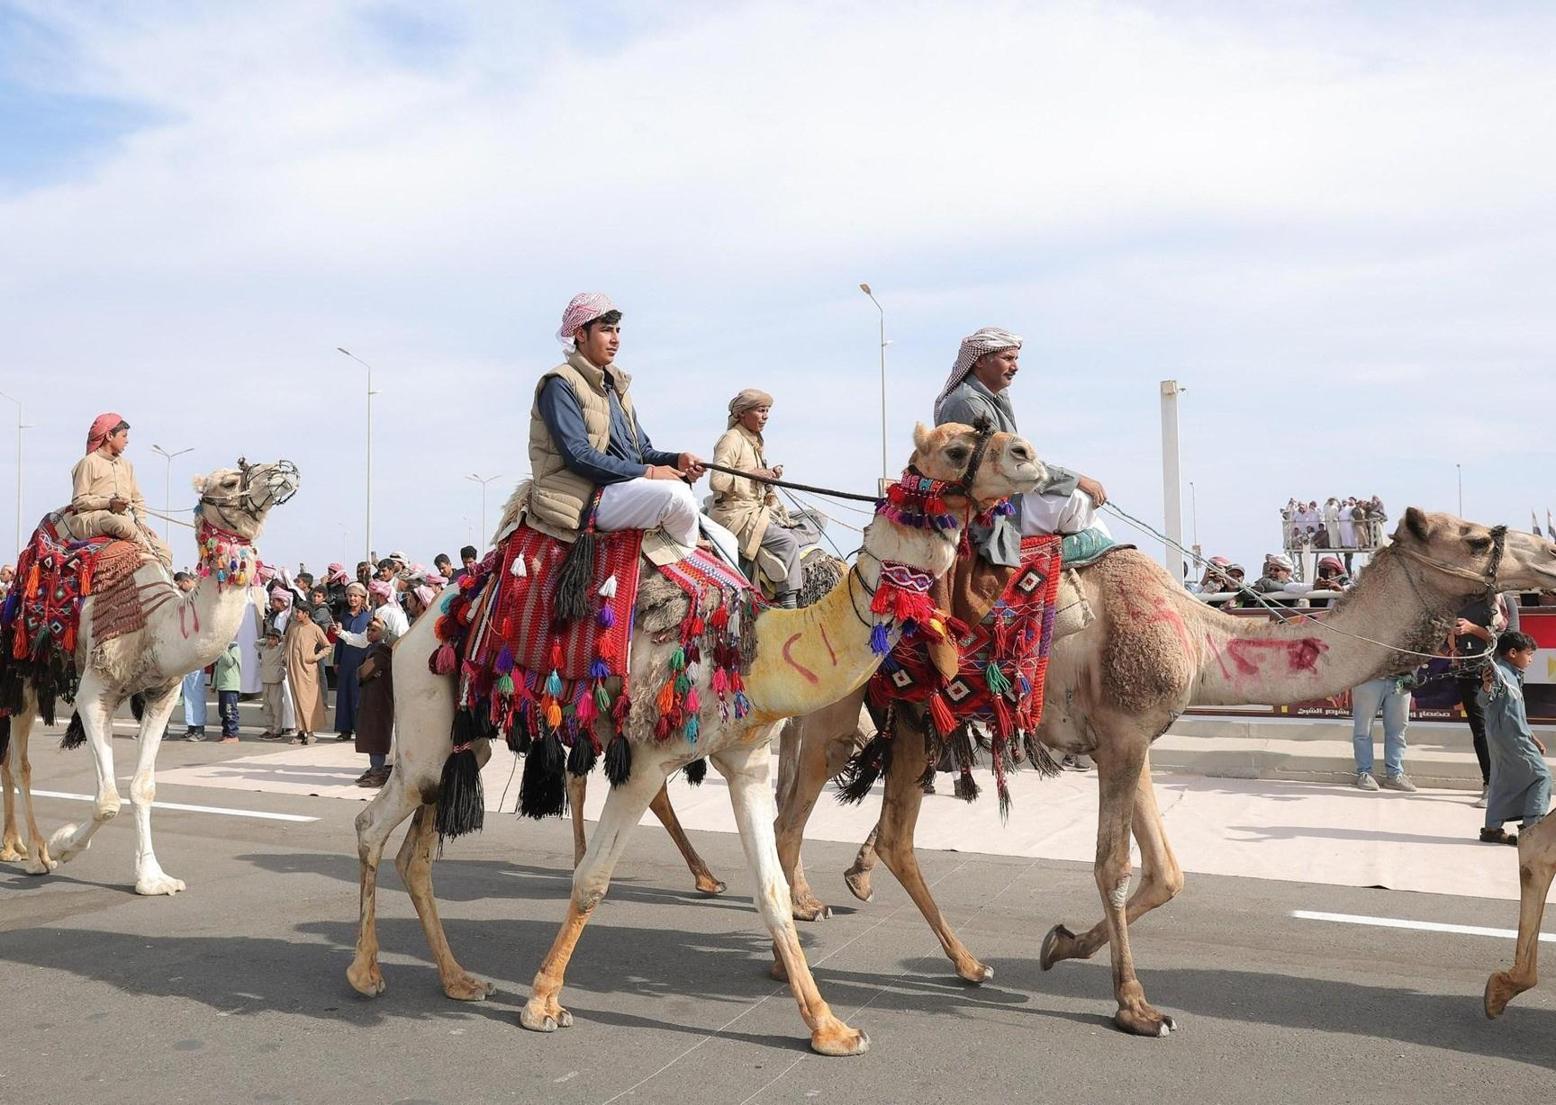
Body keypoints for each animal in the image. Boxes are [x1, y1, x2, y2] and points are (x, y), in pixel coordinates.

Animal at [0, 460, 300, 902]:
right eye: (231, 481)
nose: (285, 470)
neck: (157, 624)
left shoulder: (162, 693)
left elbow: (142, 788)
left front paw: (153, 878)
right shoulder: (95, 692)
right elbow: (107, 800)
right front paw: (62, 845)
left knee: (8, 761)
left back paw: (14, 847)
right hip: (21, 674)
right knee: (20, 764)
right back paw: (37, 855)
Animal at [346, 423, 1039, 1058]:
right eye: (956, 446)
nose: (1029, 455)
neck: (754, 648)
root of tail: (424, 619)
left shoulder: (748, 760)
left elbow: (771, 891)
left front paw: (831, 1029)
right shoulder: (646, 760)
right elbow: (593, 881)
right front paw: (543, 1004)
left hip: (468, 736)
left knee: (419, 848)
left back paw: (459, 980)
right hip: (425, 713)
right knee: (374, 824)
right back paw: (367, 973)